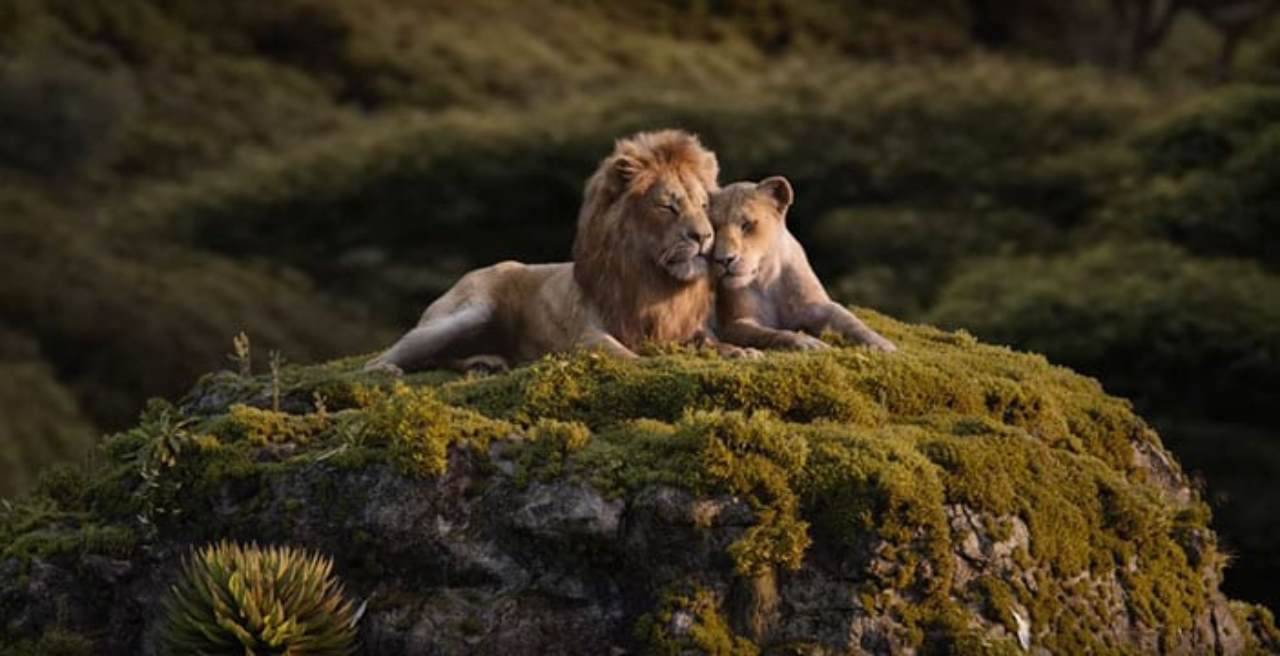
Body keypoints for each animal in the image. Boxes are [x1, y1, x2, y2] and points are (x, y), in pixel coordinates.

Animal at [365, 129, 747, 374]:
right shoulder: (584, 333)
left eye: (703, 205)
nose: (704, 236)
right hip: (470, 311)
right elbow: (616, 350)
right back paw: (384, 371)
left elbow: (710, 341)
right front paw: (647, 362)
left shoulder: (684, 327)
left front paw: (739, 351)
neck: (654, 280)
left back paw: (486, 363)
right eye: (667, 206)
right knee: (398, 352)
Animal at [709, 176, 897, 352]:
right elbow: (770, 333)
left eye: (746, 225)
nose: (724, 259)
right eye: (714, 228)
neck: (766, 278)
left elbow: (847, 319)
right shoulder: (734, 324)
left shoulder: (815, 306)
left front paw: (883, 344)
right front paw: (808, 343)